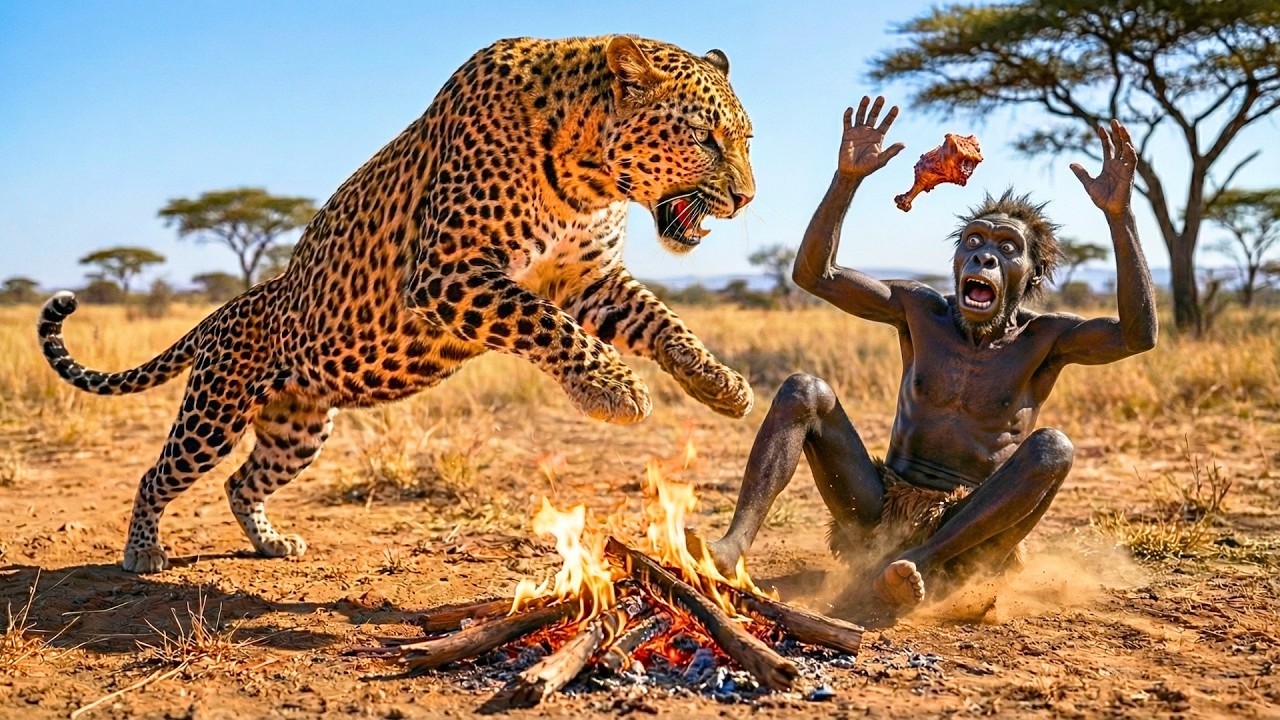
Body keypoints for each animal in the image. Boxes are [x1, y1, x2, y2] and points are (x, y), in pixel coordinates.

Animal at [37, 35, 757, 574]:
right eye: (706, 138)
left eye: (746, 139)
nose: (747, 198)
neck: (590, 178)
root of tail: (231, 306)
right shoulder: (448, 272)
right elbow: (545, 324)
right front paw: (614, 389)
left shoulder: (589, 278)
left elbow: (660, 319)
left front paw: (719, 384)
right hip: (215, 411)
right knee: (157, 474)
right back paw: (142, 554)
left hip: (299, 430)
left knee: (241, 483)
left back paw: (271, 543)